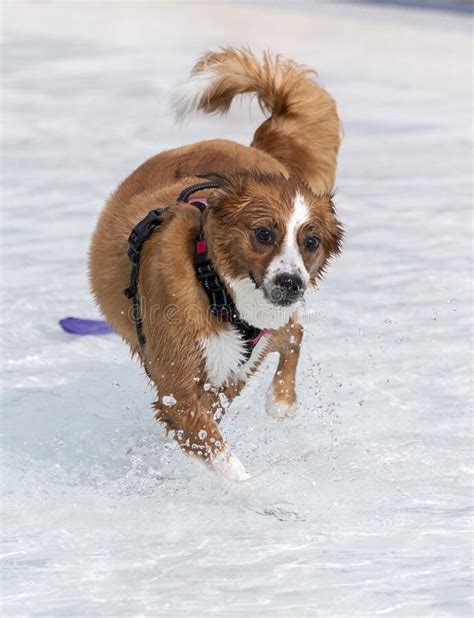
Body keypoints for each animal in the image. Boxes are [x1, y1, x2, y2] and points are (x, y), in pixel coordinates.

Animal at [88, 48, 340, 482]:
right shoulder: (179, 390)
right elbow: (221, 453)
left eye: (311, 242)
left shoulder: (228, 374)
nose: (291, 282)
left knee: (293, 332)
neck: (218, 288)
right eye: (264, 233)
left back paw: (282, 401)